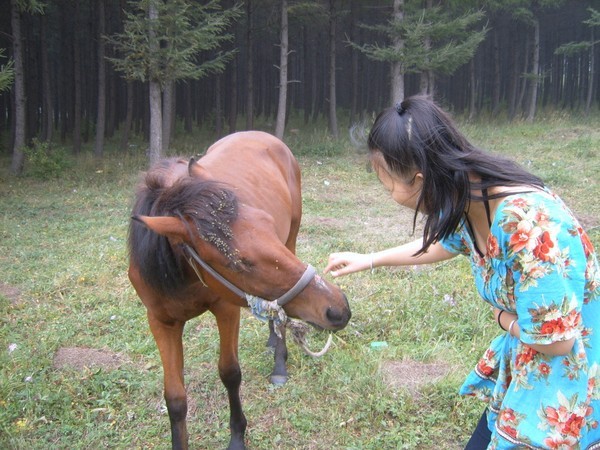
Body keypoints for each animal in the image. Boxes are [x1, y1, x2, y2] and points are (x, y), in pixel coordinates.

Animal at [126, 131, 352, 450]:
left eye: (268, 224)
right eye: (242, 262)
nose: (337, 308)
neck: (179, 273)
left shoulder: (227, 309)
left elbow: (230, 373)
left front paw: (236, 436)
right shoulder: (161, 322)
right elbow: (175, 397)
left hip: (292, 237)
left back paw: (279, 363)